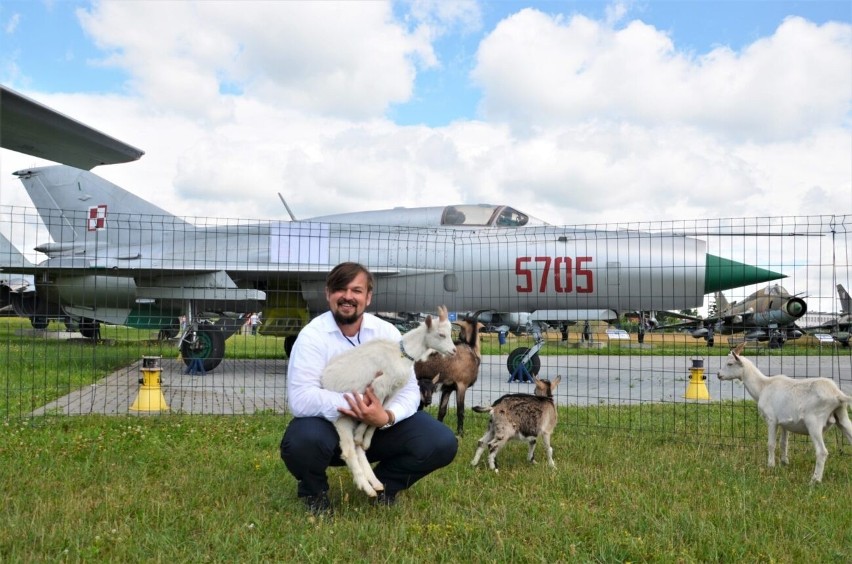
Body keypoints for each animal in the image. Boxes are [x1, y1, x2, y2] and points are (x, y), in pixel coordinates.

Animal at [320, 306, 456, 496]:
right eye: (441, 334)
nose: (454, 351)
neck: (400, 354)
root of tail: (323, 380)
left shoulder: (391, 391)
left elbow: (379, 416)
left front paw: (366, 439)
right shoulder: (379, 385)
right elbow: (369, 414)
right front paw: (361, 435)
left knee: (357, 449)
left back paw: (375, 483)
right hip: (341, 417)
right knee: (348, 450)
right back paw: (366, 486)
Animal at [720, 342, 852, 482]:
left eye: (730, 363)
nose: (718, 374)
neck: (763, 387)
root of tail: (837, 394)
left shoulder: (771, 419)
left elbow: (771, 444)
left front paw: (770, 465)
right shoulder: (785, 423)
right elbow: (784, 443)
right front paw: (784, 463)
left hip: (814, 421)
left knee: (822, 451)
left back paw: (814, 480)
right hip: (842, 417)